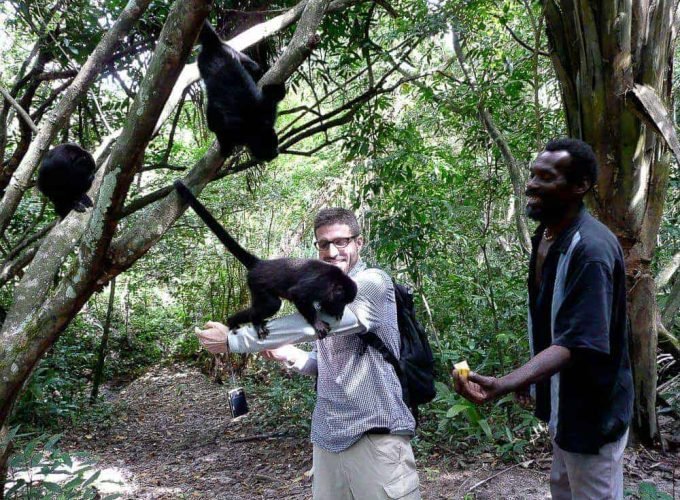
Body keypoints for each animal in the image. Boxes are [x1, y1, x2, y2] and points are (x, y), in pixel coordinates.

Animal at [174, 180, 357, 339]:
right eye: (342, 301)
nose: (341, 310)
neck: (335, 281)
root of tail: (261, 263)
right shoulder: (320, 284)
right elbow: (297, 294)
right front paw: (317, 322)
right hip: (257, 283)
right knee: (272, 305)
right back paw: (244, 321)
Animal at [197, 22, 286, 161]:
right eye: (270, 148)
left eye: (275, 143)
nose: (276, 152)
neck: (256, 126)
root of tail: (215, 45)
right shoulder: (235, 130)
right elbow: (215, 126)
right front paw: (225, 148)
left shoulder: (267, 112)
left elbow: (272, 94)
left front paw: (276, 89)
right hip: (202, 61)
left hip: (233, 51)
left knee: (255, 67)